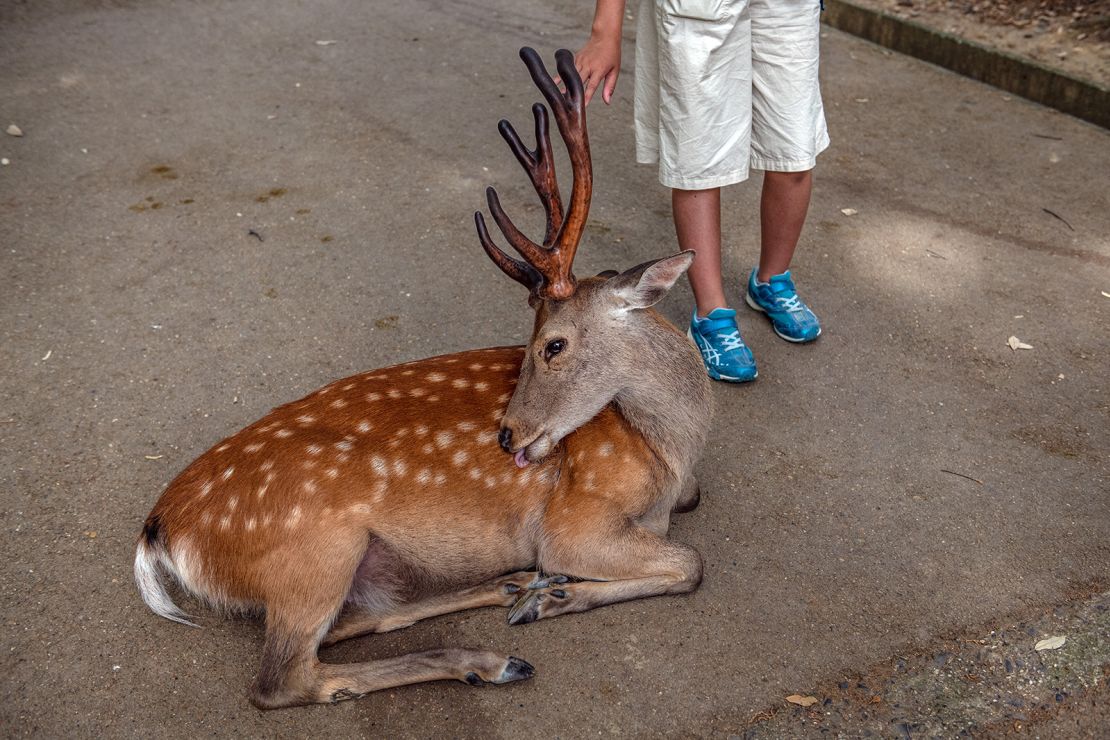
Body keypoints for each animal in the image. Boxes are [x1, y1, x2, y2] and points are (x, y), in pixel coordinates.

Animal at [136, 47, 710, 710]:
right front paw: (556, 596)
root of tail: (161, 529)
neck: (669, 454)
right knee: (283, 679)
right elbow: (691, 563)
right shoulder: (574, 519)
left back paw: (511, 587)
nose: (507, 436)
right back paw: (492, 655)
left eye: (553, 343)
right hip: (315, 547)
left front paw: (547, 592)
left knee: (353, 623)